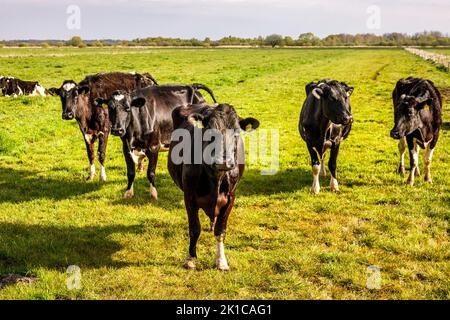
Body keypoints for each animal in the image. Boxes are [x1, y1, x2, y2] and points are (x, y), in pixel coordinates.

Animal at [168, 104, 260, 270]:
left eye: (237, 132)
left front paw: (221, 261)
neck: (215, 178)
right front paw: (191, 258)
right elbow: (194, 229)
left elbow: (220, 230)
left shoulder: (231, 197)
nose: (224, 161)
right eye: (209, 131)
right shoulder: (189, 197)